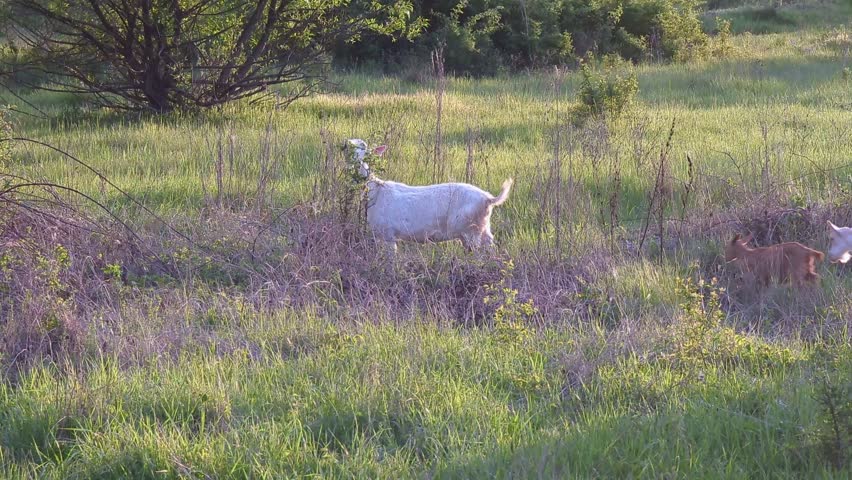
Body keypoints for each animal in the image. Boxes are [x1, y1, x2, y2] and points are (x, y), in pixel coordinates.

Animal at [346, 138, 513, 253]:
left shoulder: (387, 234)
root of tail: (488, 199)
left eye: (366, 152)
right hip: (483, 227)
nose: (346, 143)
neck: (376, 192)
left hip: (470, 230)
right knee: (490, 244)